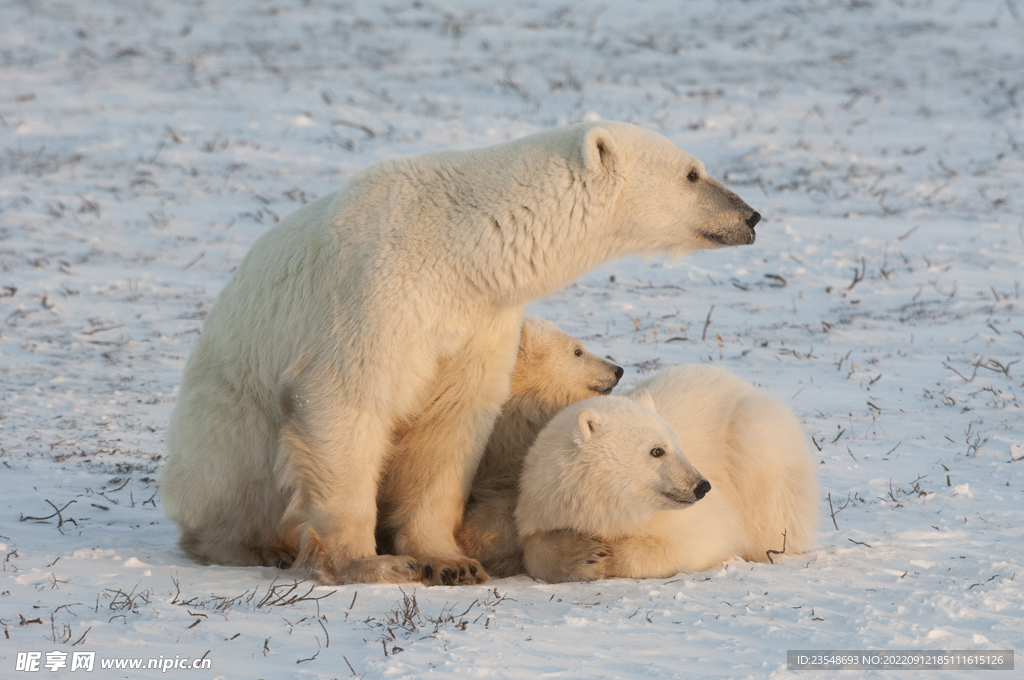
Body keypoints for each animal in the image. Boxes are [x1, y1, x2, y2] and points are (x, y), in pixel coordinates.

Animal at [516, 366, 819, 585]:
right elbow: (535, 550)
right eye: (657, 451)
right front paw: (584, 554)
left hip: (756, 437)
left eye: (678, 445)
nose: (701, 486)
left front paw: (609, 556)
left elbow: (701, 539)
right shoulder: (550, 504)